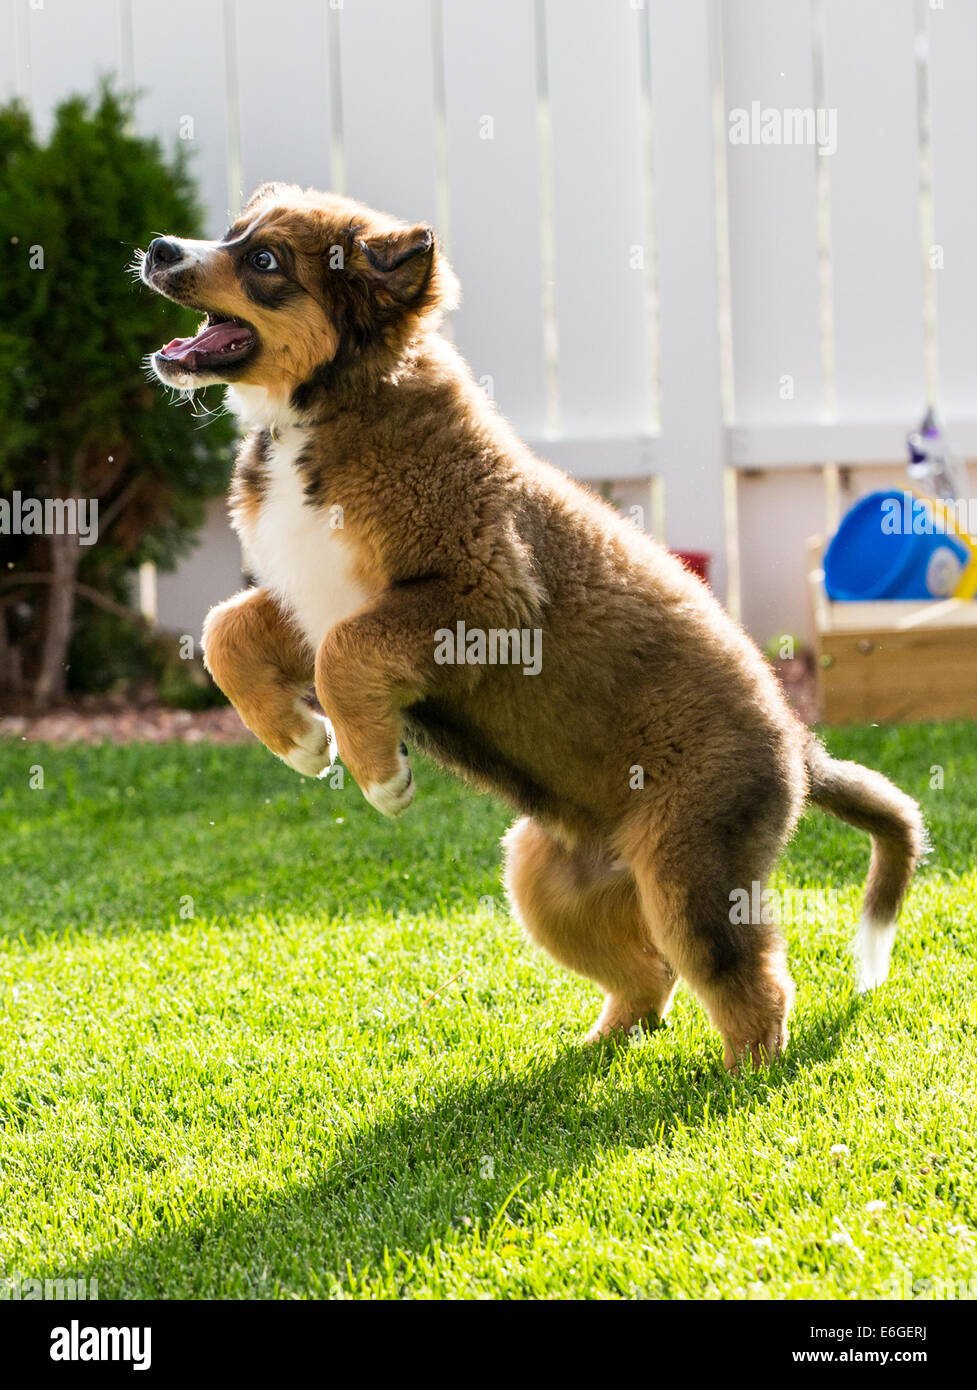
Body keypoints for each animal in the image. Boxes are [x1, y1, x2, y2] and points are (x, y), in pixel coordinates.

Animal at [137, 184, 922, 1067]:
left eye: (264, 260)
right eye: (231, 234)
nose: (159, 248)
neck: (330, 406)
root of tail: (798, 746)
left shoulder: (482, 595)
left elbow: (344, 652)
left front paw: (379, 775)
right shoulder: (312, 596)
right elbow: (227, 630)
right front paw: (300, 740)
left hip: (691, 869)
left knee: (748, 982)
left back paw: (741, 1081)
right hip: (545, 879)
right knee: (649, 977)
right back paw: (595, 1047)